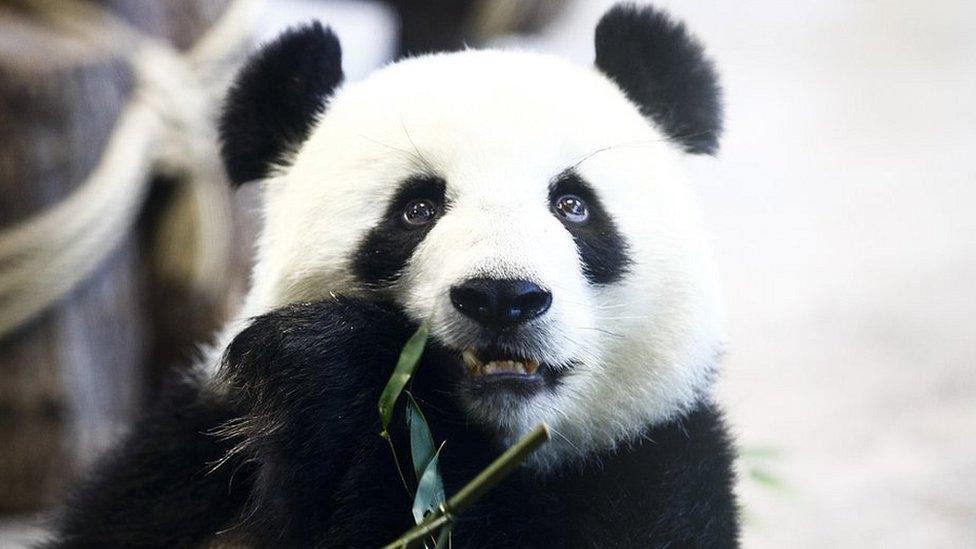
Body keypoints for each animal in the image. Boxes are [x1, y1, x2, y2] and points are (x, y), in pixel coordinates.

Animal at [51, 4, 740, 548]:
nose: (502, 297)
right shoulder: (182, 466)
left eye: (573, 205)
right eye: (417, 208)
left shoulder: (661, 466)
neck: (490, 440)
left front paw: (338, 366)